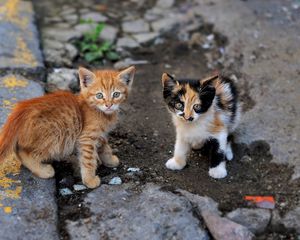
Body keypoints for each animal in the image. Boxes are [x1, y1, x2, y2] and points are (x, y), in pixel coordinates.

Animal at [0, 66, 136, 188]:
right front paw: (90, 180)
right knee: (23, 153)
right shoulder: (86, 138)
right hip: (55, 137)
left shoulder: (99, 135)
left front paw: (110, 160)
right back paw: (44, 171)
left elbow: (105, 146)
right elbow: (88, 160)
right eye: (99, 95)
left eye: (116, 94)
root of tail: (19, 112)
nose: (108, 105)